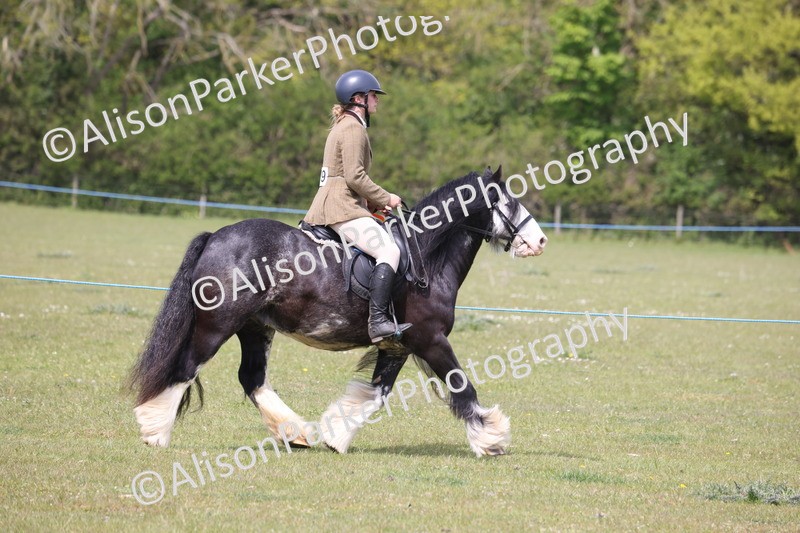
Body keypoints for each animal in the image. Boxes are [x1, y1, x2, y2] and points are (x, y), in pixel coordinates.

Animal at [129, 167, 548, 456]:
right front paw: (491, 437)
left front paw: (336, 436)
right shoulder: (430, 339)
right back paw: (155, 432)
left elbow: (375, 394)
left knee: (252, 378)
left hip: (255, 327)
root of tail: (216, 236)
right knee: (186, 369)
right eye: (509, 202)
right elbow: (462, 385)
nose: (540, 240)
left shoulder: (397, 345)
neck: (427, 255)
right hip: (217, 324)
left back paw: (298, 432)